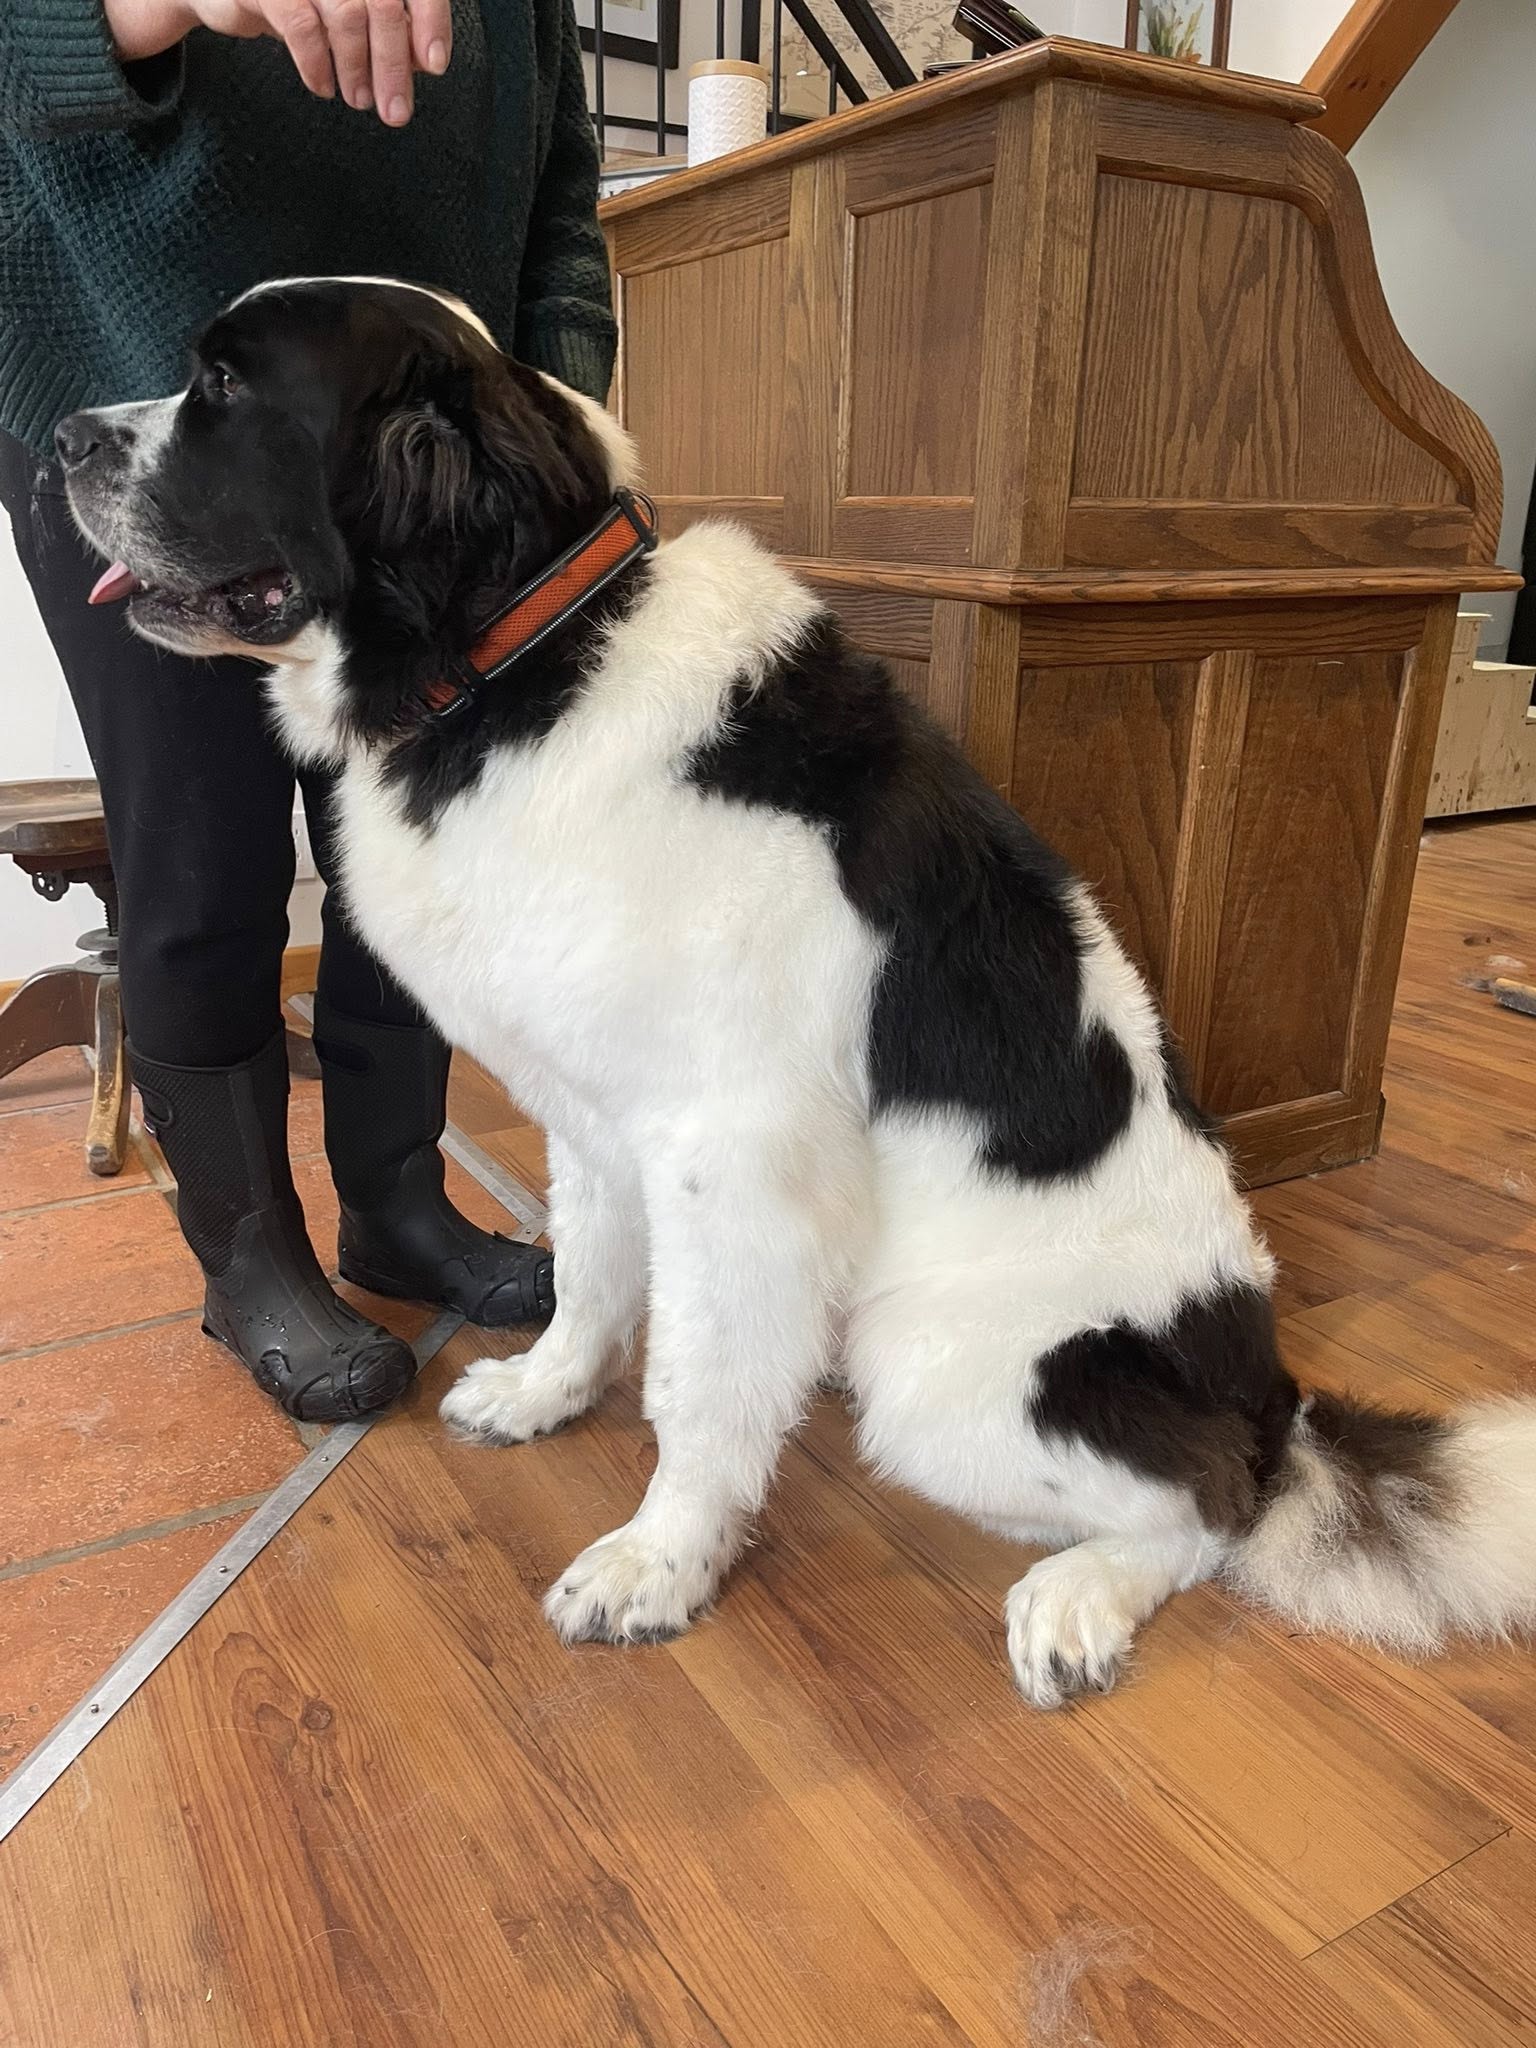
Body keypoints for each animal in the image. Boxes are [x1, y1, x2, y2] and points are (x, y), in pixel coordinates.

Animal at [60, 277, 1536, 1706]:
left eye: (226, 385)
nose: (60, 439)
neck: (531, 659)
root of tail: (1273, 1390)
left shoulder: (731, 1152)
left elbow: (697, 1383)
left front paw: (660, 1559)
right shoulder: (599, 1116)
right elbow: (592, 1275)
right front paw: (547, 1393)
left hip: (943, 1370)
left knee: (1213, 1503)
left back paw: (1077, 1602)